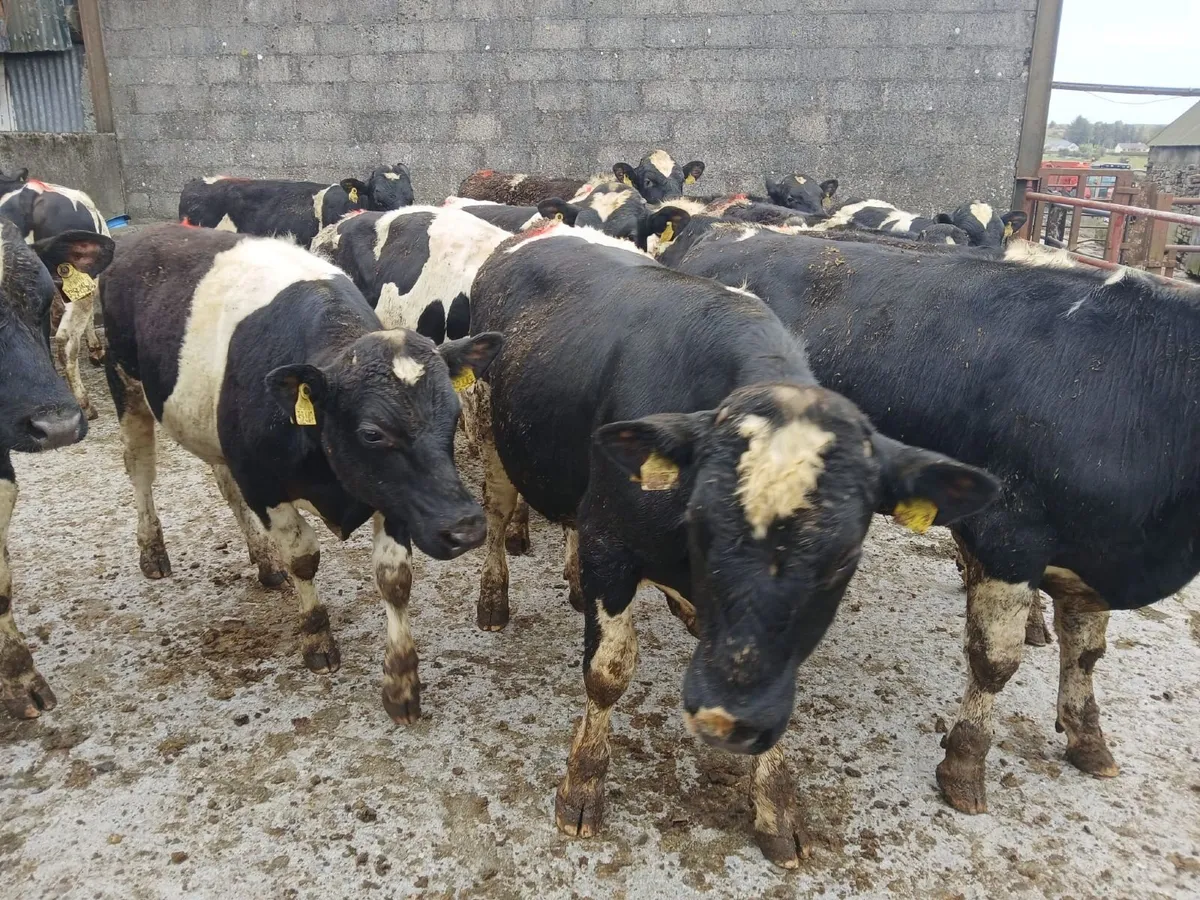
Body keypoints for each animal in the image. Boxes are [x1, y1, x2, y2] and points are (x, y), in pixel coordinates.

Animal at [99, 223, 502, 723]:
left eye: (453, 415)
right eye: (371, 433)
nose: (465, 528)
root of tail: (141, 232)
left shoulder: (395, 497)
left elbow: (394, 578)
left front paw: (402, 681)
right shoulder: (265, 485)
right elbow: (303, 559)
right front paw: (317, 639)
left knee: (224, 484)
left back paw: (263, 561)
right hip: (124, 381)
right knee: (140, 469)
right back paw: (153, 550)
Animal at [466, 220, 999, 867]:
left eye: (845, 558)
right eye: (699, 522)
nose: (727, 719)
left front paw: (776, 805)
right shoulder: (608, 545)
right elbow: (607, 673)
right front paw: (583, 786)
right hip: (489, 425)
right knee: (497, 513)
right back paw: (494, 600)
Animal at [664, 223, 1200, 816]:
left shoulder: (1092, 560)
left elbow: (1086, 654)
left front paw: (1088, 740)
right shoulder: (1009, 537)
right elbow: (994, 661)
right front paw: (964, 764)